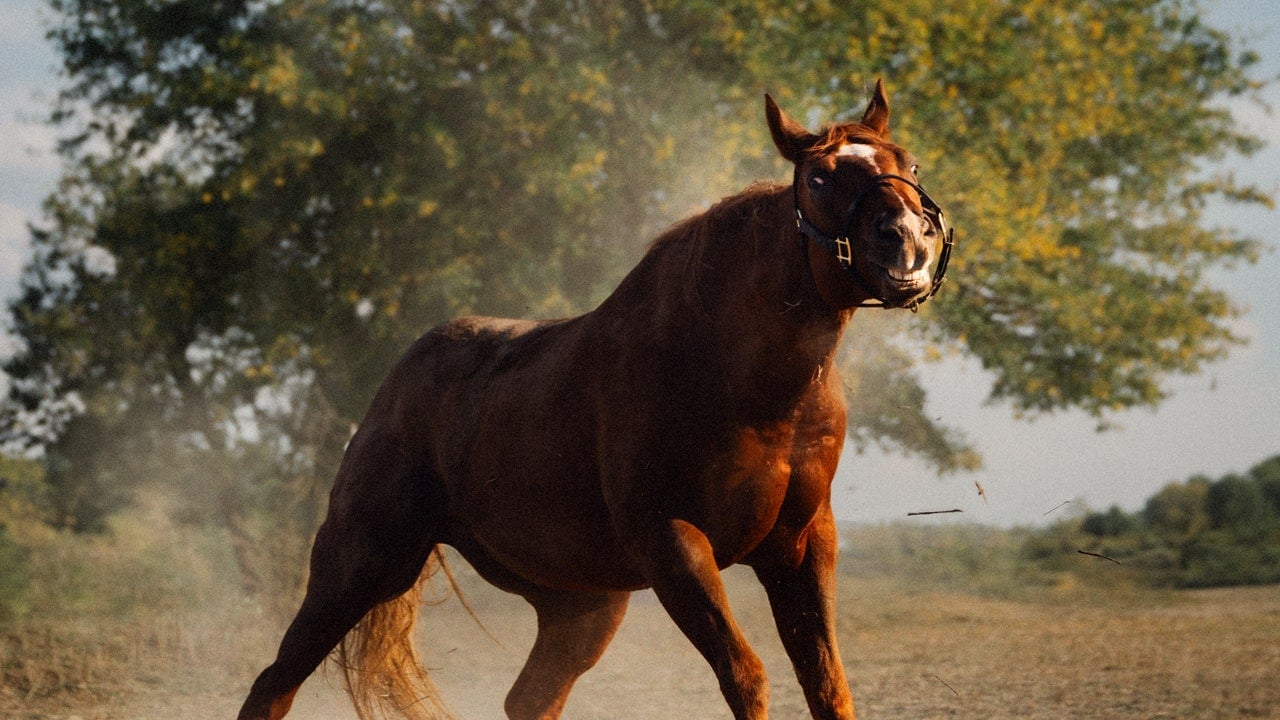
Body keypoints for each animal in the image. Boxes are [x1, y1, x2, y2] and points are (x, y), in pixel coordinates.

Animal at [235, 78, 952, 717]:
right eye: (821, 178)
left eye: (909, 162)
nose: (908, 241)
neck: (747, 387)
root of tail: (400, 374)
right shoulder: (673, 544)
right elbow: (746, 677)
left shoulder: (802, 548)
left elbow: (828, 686)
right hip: (359, 563)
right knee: (275, 682)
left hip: (579, 602)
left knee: (529, 700)